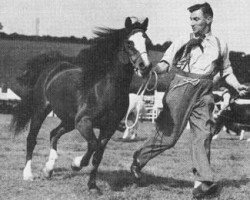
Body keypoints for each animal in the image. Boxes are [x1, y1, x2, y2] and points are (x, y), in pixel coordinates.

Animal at [11, 16, 152, 192]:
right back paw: (28, 174)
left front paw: (92, 186)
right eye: (129, 43)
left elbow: (98, 154)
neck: (104, 89)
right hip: (41, 110)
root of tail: (53, 66)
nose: (145, 67)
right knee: (32, 139)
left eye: (148, 42)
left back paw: (48, 170)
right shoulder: (84, 122)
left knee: (54, 133)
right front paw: (76, 164)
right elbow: (93, 145)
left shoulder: (109, 127)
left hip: (69, 121)